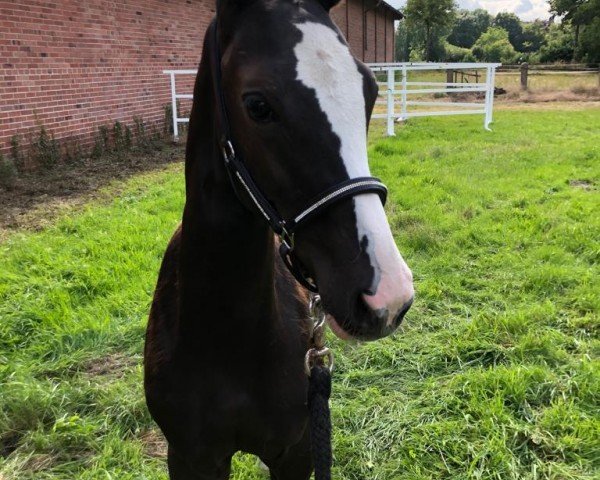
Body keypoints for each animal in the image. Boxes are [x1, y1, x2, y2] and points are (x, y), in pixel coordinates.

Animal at [143, 0, 414, 476]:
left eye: (370, 91)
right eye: (258, 105)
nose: (388, 295)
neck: (226, 340)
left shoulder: (295, 450)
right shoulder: (192, 458)